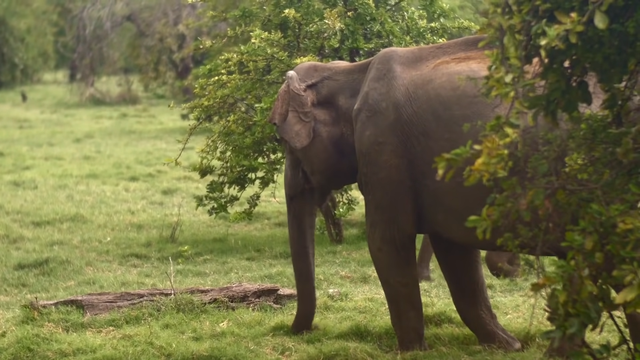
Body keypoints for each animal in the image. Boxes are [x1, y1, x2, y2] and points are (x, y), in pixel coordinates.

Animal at [266, 35, 640, 356]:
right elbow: (456, 252)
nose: (296, 330)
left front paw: (412, 351)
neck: (351, 72)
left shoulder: (383, 147)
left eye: (285, 143)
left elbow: (388, 241)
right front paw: (508, 345)